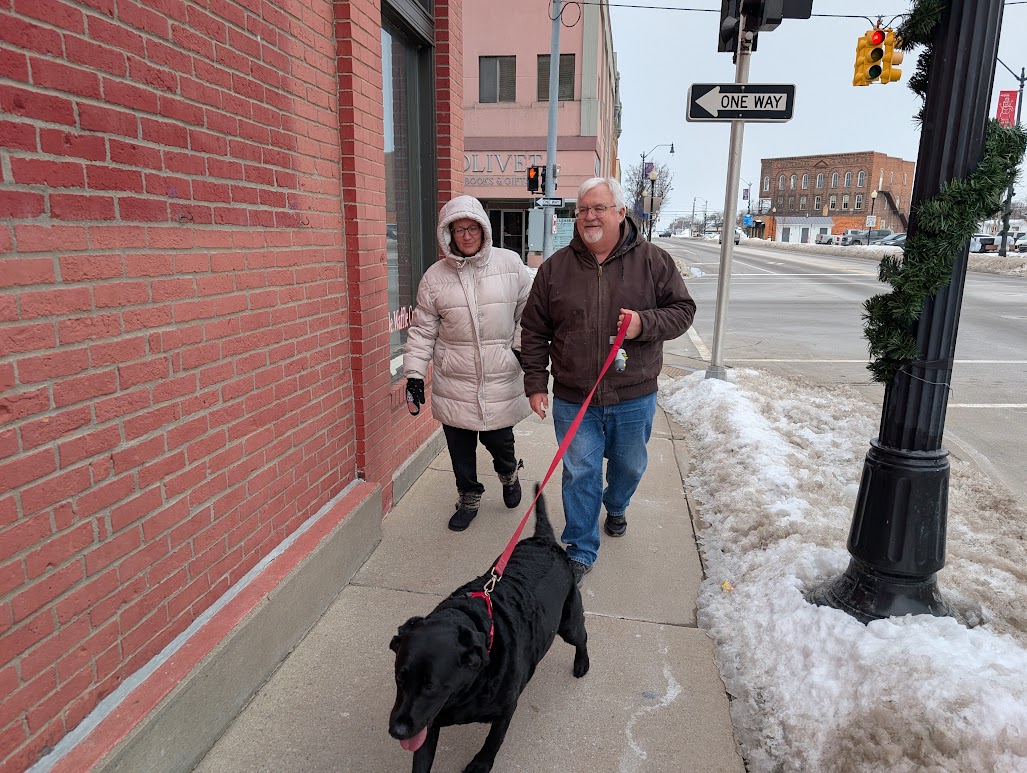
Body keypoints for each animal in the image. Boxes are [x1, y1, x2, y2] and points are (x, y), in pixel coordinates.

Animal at [388, 486, 589, 773]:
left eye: (431, 687)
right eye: (399, 678)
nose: (397, 731)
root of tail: (543, 540)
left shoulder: (506, 709)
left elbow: (494, 740)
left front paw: (480, 763)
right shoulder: (428, 725)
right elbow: (422, 760)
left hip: (568, 621)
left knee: (582, 636)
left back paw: (582, 663)